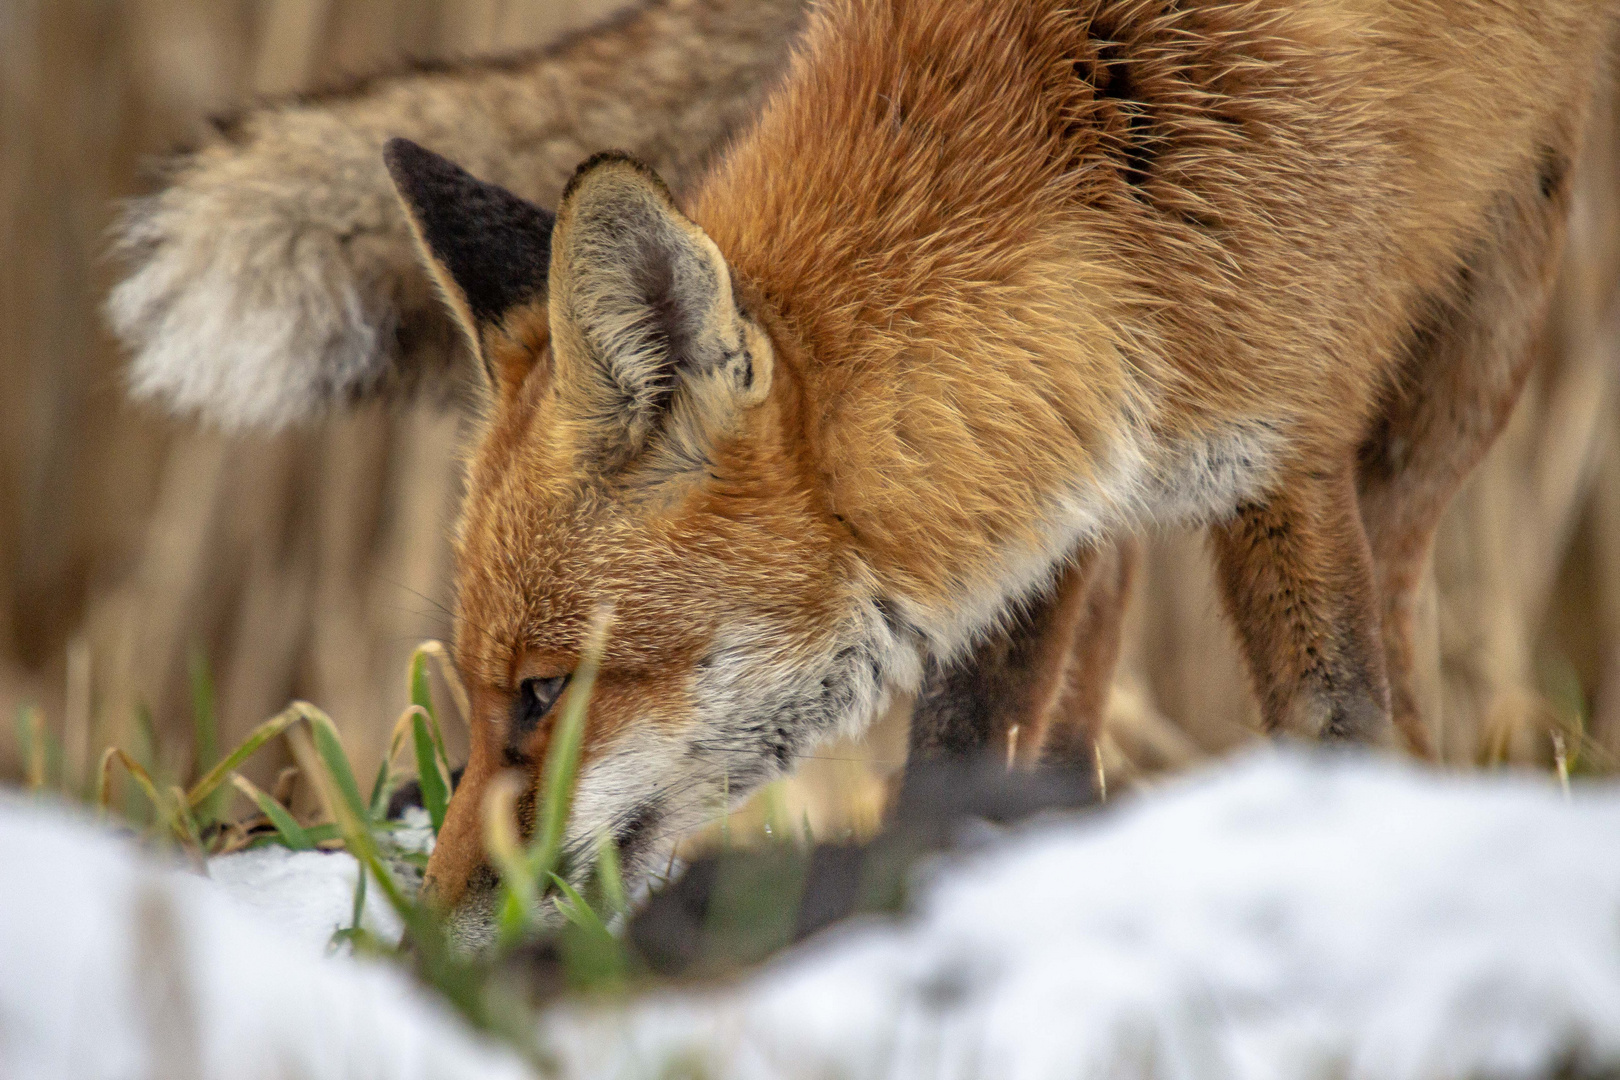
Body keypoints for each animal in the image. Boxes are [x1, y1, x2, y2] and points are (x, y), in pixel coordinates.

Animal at [361, 0, 1613, 939]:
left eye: (543, 692)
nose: (432, 939)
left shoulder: (1289, 447)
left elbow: (1338, 715)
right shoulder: (1044, 474)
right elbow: (958, 746)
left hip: (1482, 331)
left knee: (1400, 602)